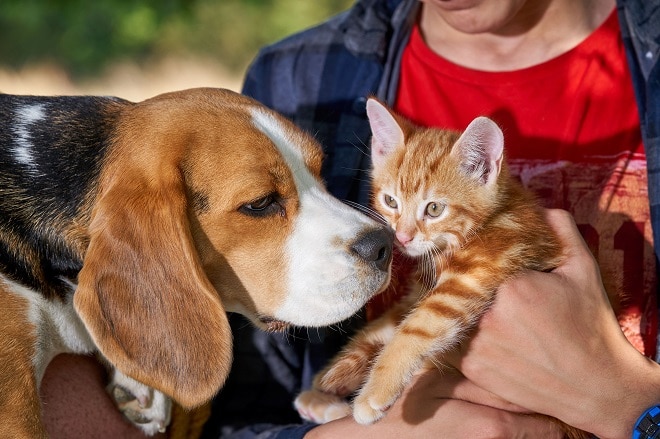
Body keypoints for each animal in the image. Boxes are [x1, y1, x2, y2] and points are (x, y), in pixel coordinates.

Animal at [294, 99, 588, 439]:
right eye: (391, 201)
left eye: (434, 209)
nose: (402, 237)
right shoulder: (419, 290)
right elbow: (385, 323)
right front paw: (334, 373)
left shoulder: (476, 275)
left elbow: (416, 327)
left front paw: (374, 393)